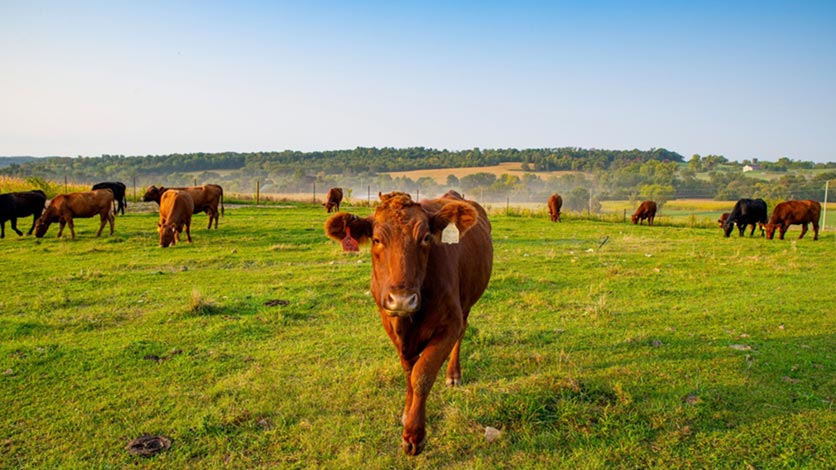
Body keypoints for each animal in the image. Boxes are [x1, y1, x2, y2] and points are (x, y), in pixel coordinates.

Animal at [324, 191, 493, 456]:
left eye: (425, 238)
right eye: (376, 239)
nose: (402, 299)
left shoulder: (449, 324)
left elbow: (421, 375)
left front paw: (414, 435)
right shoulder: (391, 325)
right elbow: (408, 371)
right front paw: (406, 413)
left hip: (466, 305)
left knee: (462, 333)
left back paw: (453, 374)